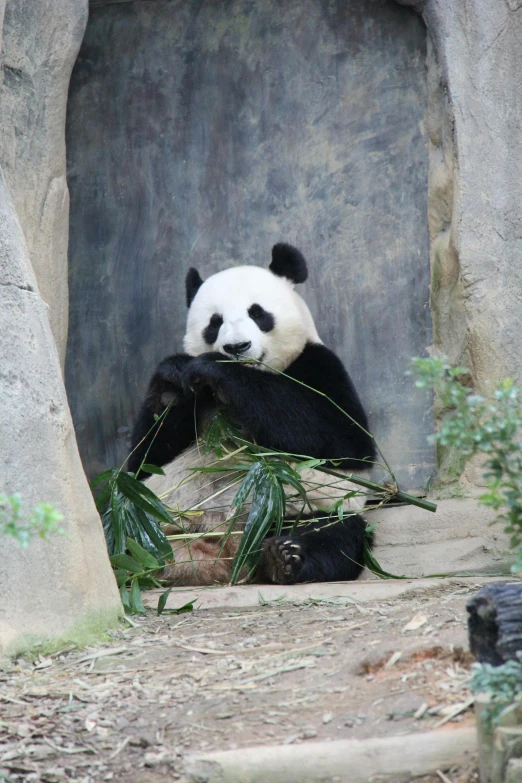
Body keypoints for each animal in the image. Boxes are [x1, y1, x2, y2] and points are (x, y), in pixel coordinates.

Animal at [129, 242, 374, 584]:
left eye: (257, 313)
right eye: (214, 322)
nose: (237, 347)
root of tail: (222, 556)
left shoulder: (319, 365)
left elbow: (343, 439)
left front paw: (215, 368)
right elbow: (143, 462)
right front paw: (171, 380)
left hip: (304, 508)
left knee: (336, 534)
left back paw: (284, 557)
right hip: (149, 522)